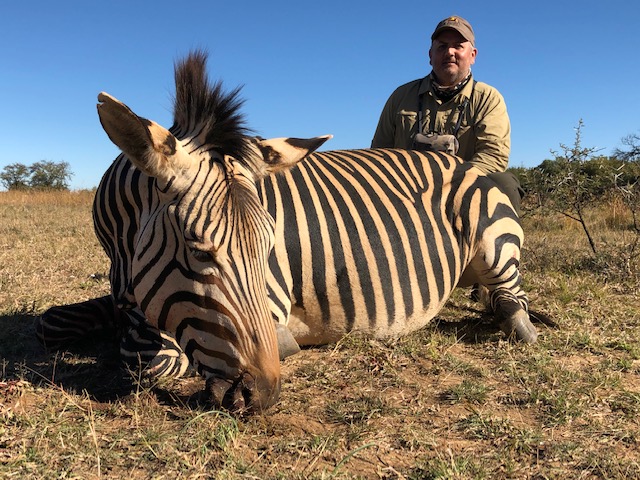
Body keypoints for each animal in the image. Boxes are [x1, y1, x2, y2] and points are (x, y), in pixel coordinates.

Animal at [36, 50, 540, 413]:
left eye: (269, 250)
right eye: (198, 251)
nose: (261, 396)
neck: (125, 257)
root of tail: (457, 162)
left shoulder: (269, 301)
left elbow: (155, 360)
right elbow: (51, 323)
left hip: (494, 240)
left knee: (512, 300)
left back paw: (513, 320)